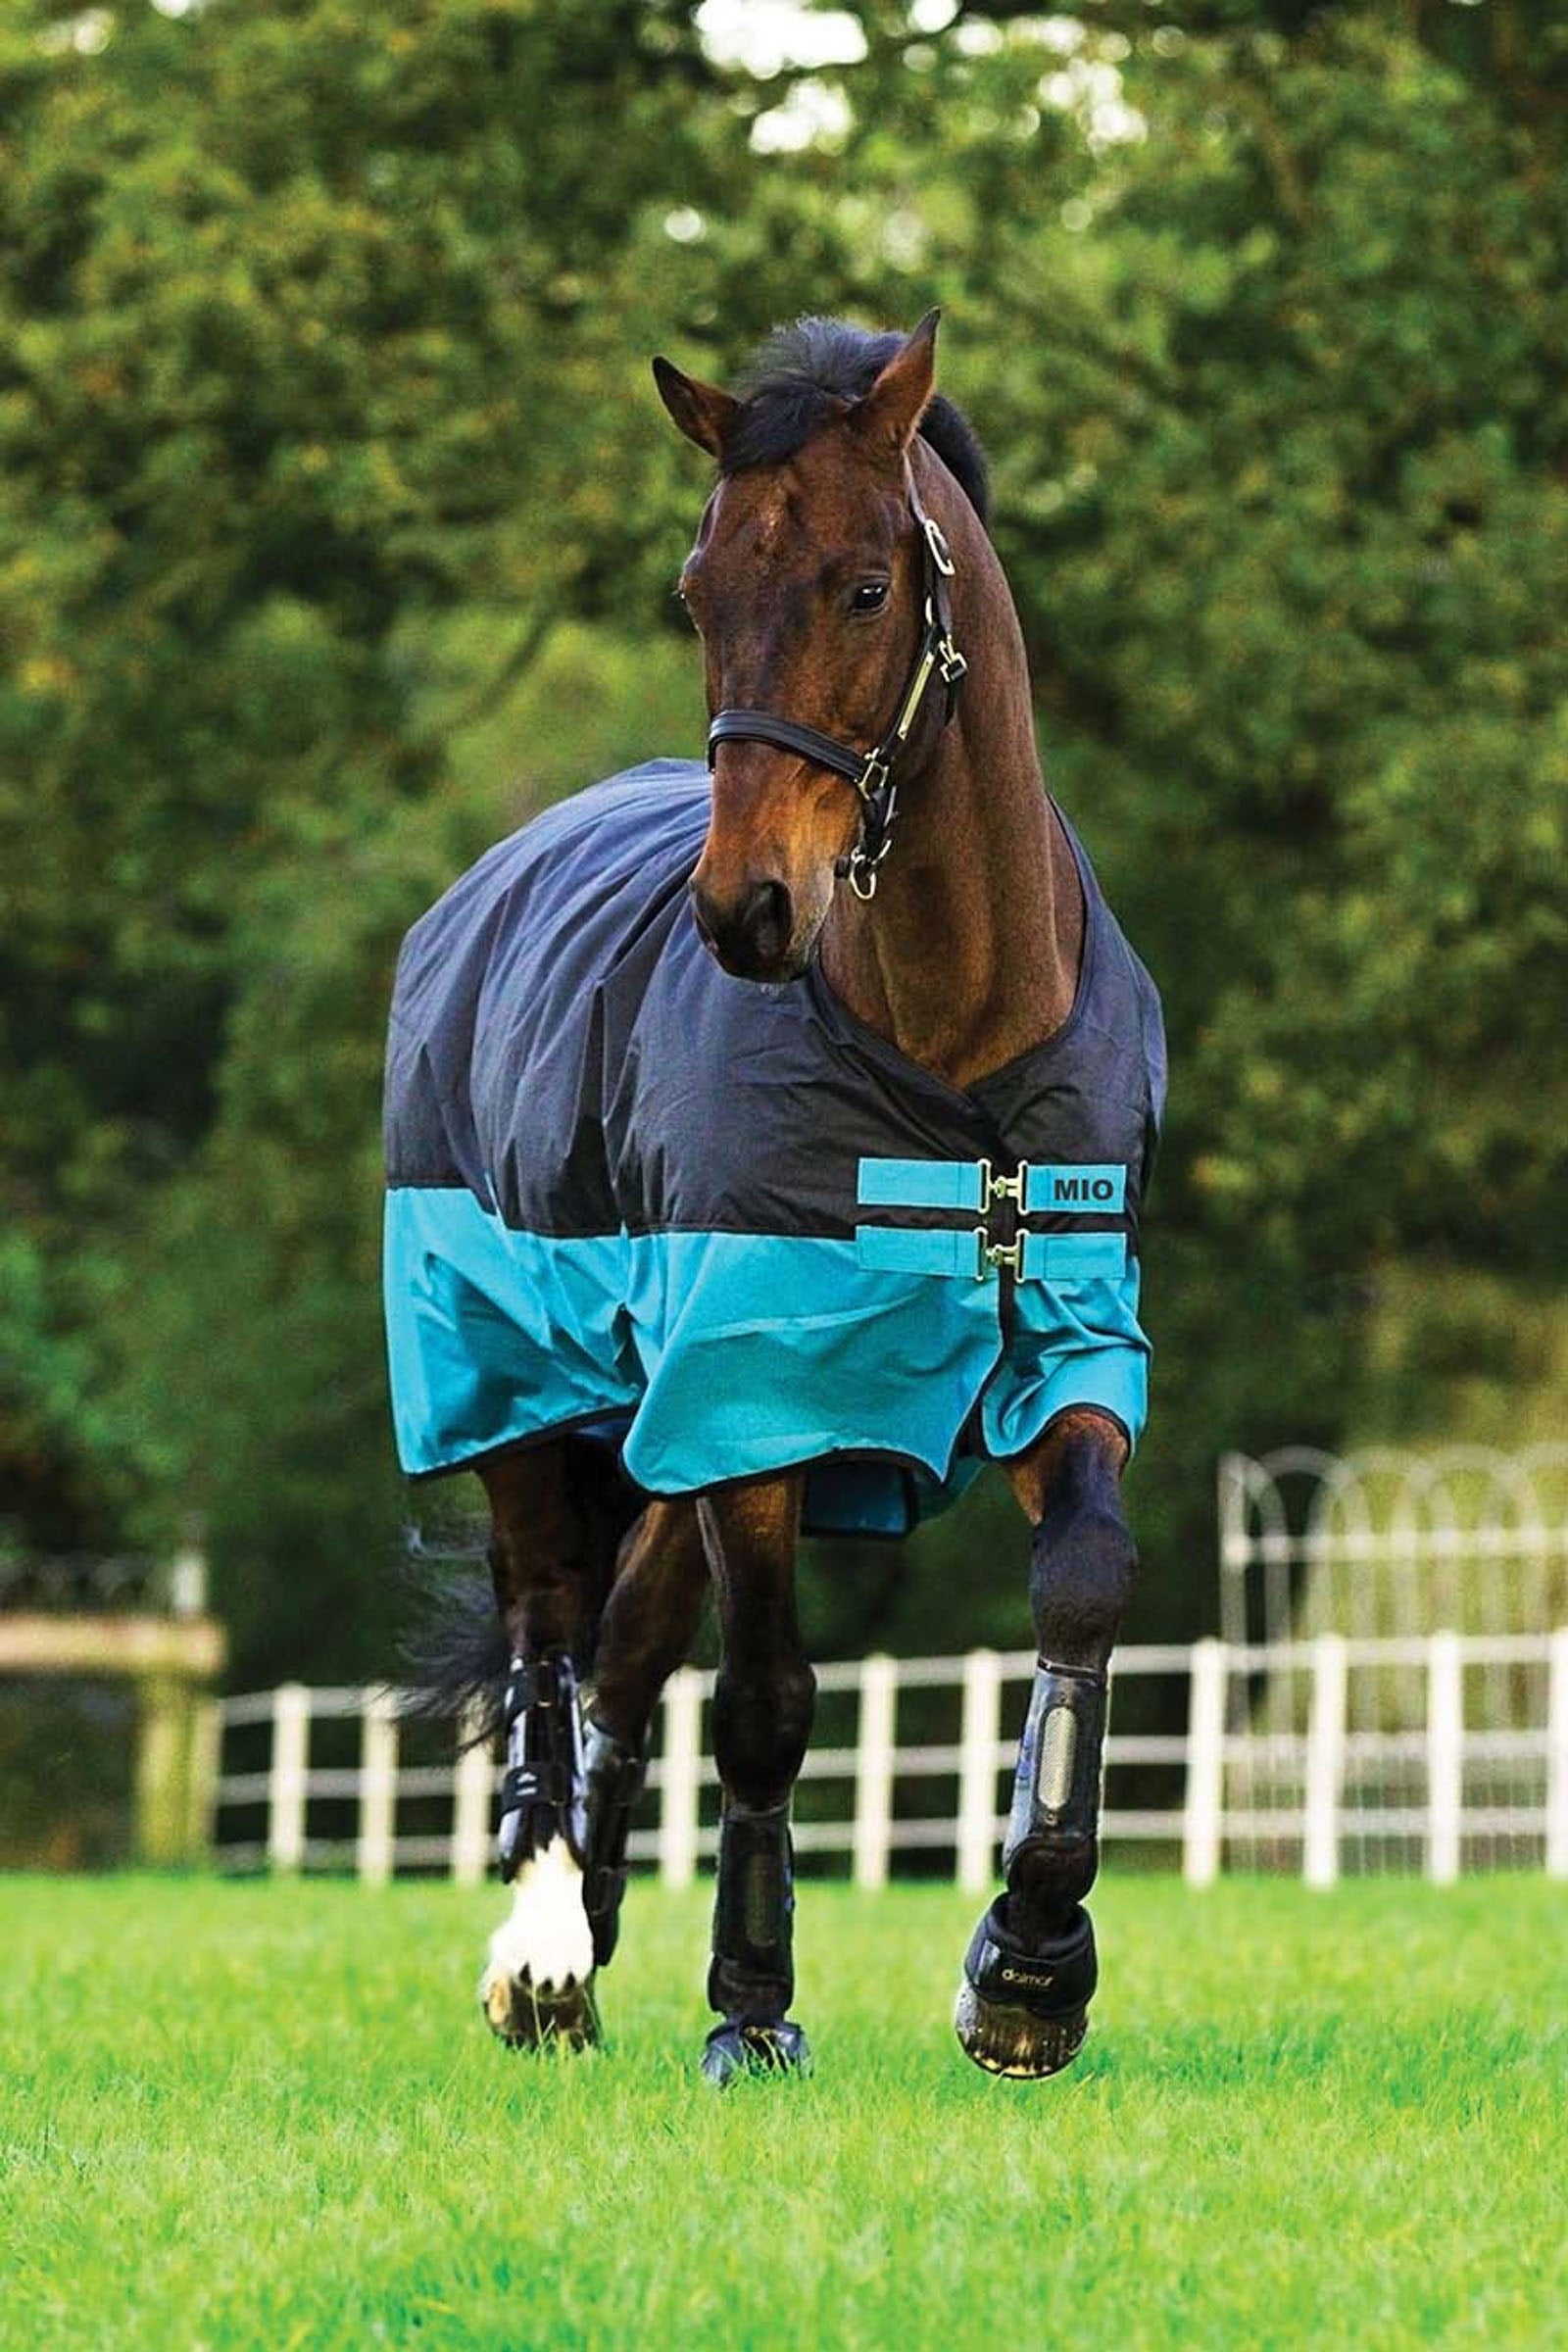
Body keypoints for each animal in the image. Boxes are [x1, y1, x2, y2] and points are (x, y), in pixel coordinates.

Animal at [383, 311, 1165, 2082]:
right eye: (699, 589)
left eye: (868, 587)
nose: (745, 909)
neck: (952, 1053)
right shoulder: (758, 1393)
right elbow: (766, 1701)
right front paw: (752, 2007)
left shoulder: (1065, 1345)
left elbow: (1083, 1587)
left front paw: (1031, 1968)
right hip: (524, 1387)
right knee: (552, 1632)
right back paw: (546, 1948)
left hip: (660, 1433)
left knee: (622, 1652)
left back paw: (591, 1931)